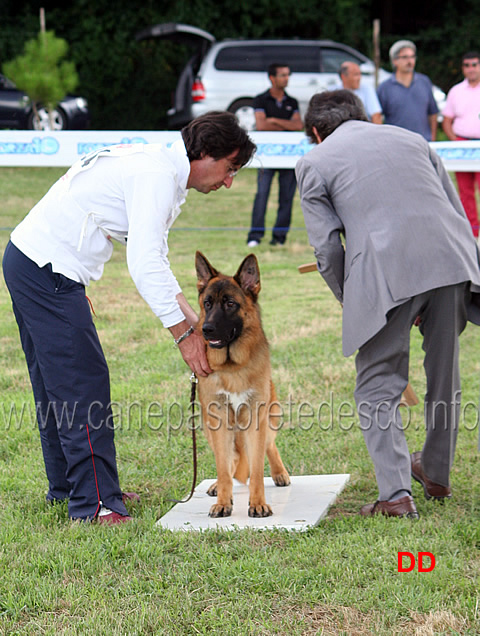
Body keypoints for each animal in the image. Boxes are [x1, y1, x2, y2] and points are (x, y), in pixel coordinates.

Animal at [196, 250, 292, 516]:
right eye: (207, 303)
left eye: (230, 304)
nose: (206, 329)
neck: (232, 368)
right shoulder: (218, 421)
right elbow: (223, 466)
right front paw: (223, 502)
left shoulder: (256, 419)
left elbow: (257, 469)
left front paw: (258, 503)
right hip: (208, 427)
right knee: (229, 461)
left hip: (269, 417)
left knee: (269, 446)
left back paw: (280, 473)